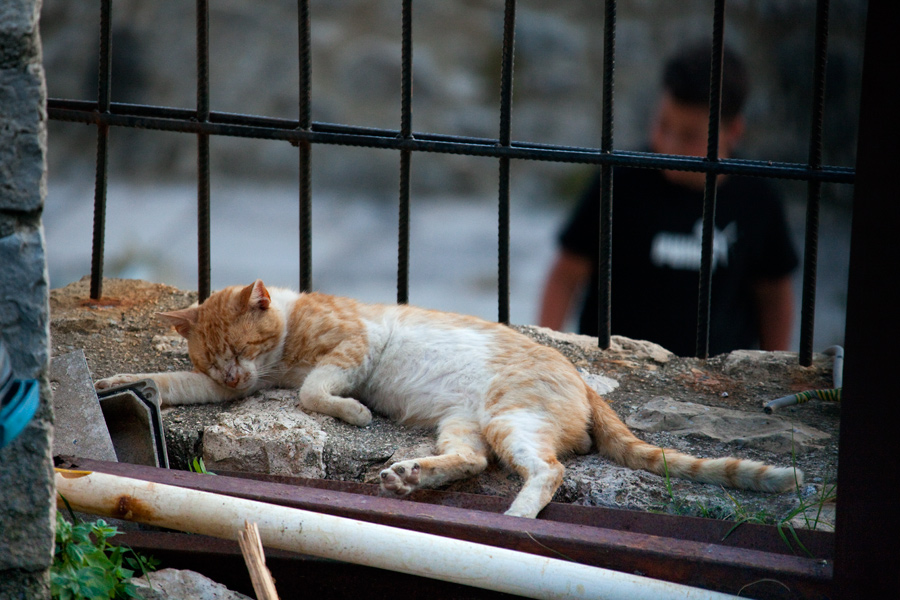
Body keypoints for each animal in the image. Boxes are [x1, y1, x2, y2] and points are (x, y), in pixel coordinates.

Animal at [96, 278, 800, 516]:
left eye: (241, 348)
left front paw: (353, 411)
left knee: (549, 471)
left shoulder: (350, 349)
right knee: (473, 460)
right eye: (214, 359)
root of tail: (580, 377)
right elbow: (166, 383)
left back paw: (514, 517)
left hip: (508, 417)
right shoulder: (225, 385)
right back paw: (411, 476)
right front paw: (113, 384)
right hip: (464, 425)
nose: (236, 379)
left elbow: (317, 395)